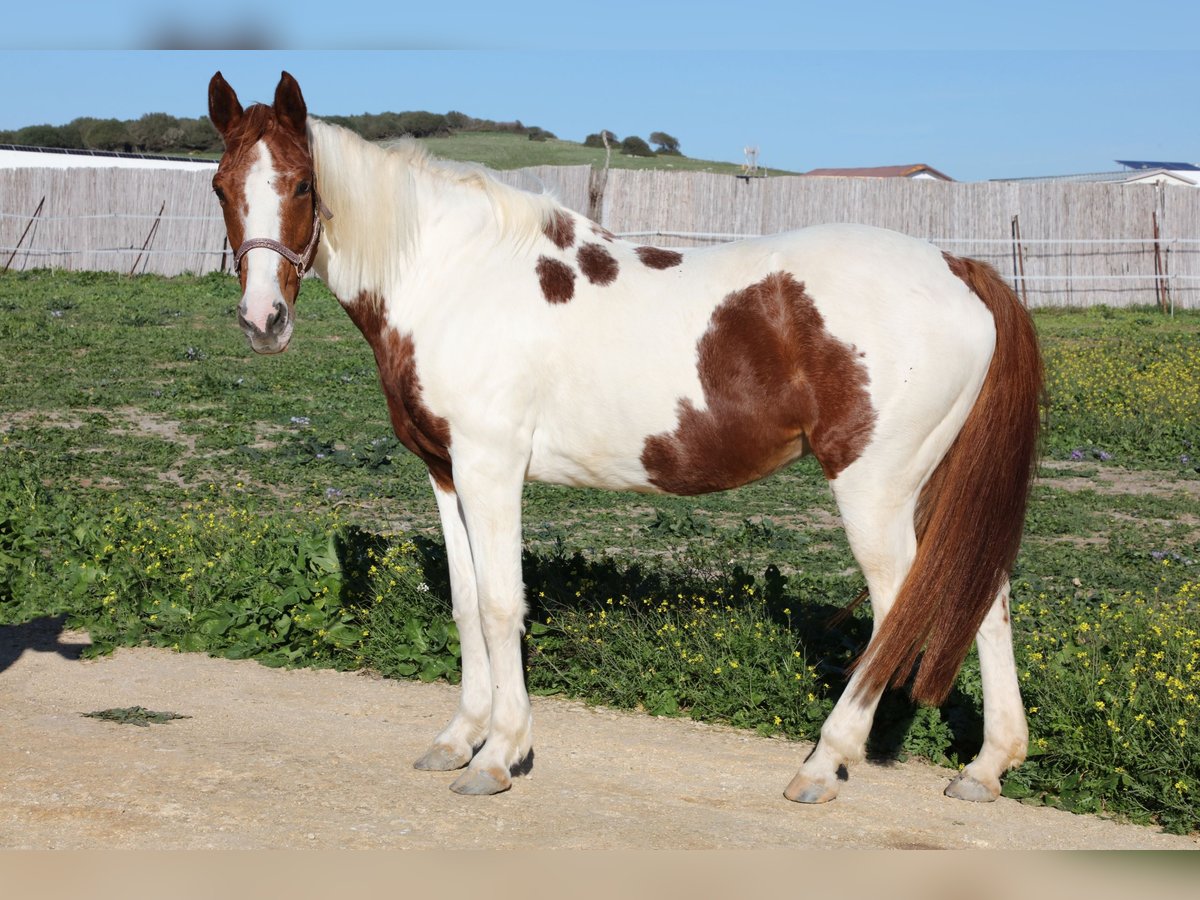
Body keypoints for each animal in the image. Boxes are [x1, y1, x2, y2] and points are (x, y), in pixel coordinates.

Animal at [206, 72, 1041, 801]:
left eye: (303, 186)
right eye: (220, 185)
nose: (262, 321)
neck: (457, 274)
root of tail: (956, 266)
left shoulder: (490, 466)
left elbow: (503, 604)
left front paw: (501, 754)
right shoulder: (444, 470)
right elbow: (467, 600)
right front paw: (458, 739)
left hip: (875, 490)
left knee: (905, 608)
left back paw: (823, 763)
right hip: (930, 486)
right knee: (984, 596)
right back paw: (986, 767)